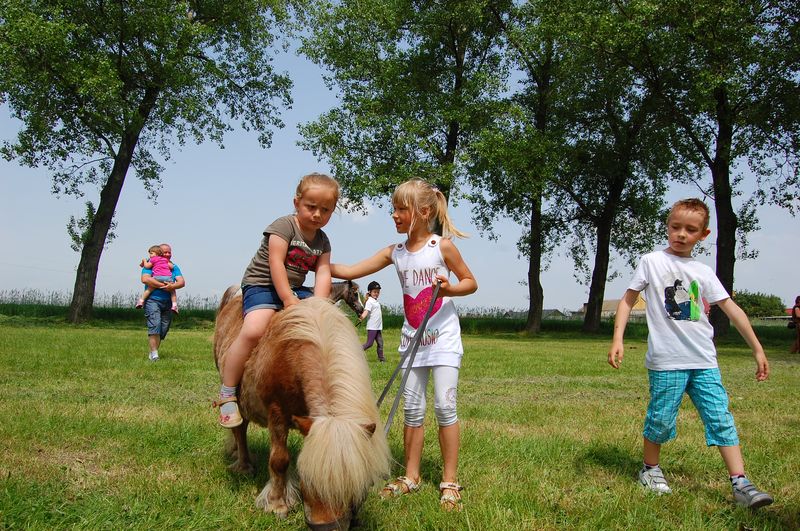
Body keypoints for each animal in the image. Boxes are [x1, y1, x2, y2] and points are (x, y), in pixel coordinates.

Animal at [212, 290, 388, 531]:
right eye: (309, 481)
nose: (328, 528)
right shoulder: (276, 413)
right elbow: (279, 460)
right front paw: (277, 504)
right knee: (239, 428)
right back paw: (244, 464)